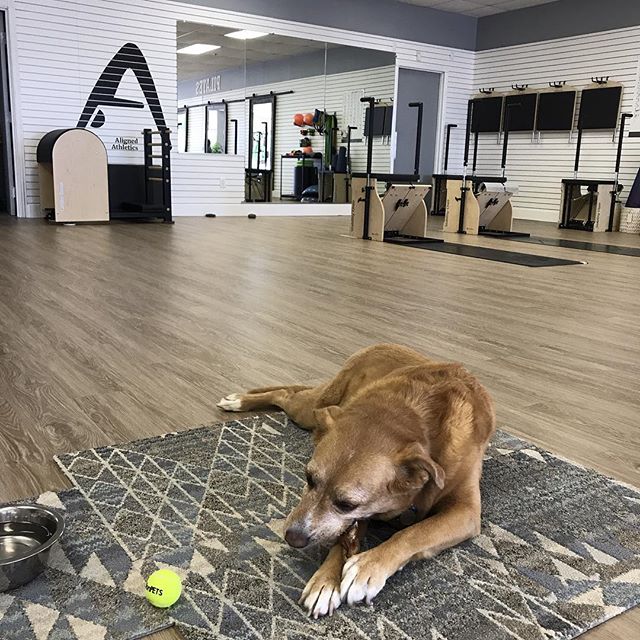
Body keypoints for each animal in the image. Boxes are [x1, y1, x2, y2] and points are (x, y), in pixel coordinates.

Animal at [219, 344, 496, 620]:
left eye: (347, 504)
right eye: (309, 478)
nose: (292, 538)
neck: (412, 418)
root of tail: (382, 344)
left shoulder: (465, 511)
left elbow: (414, 532)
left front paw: (366, 568)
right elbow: (344, 538)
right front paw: (325, 582)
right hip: (312, 409)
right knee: (286, 394)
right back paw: (239, 401)